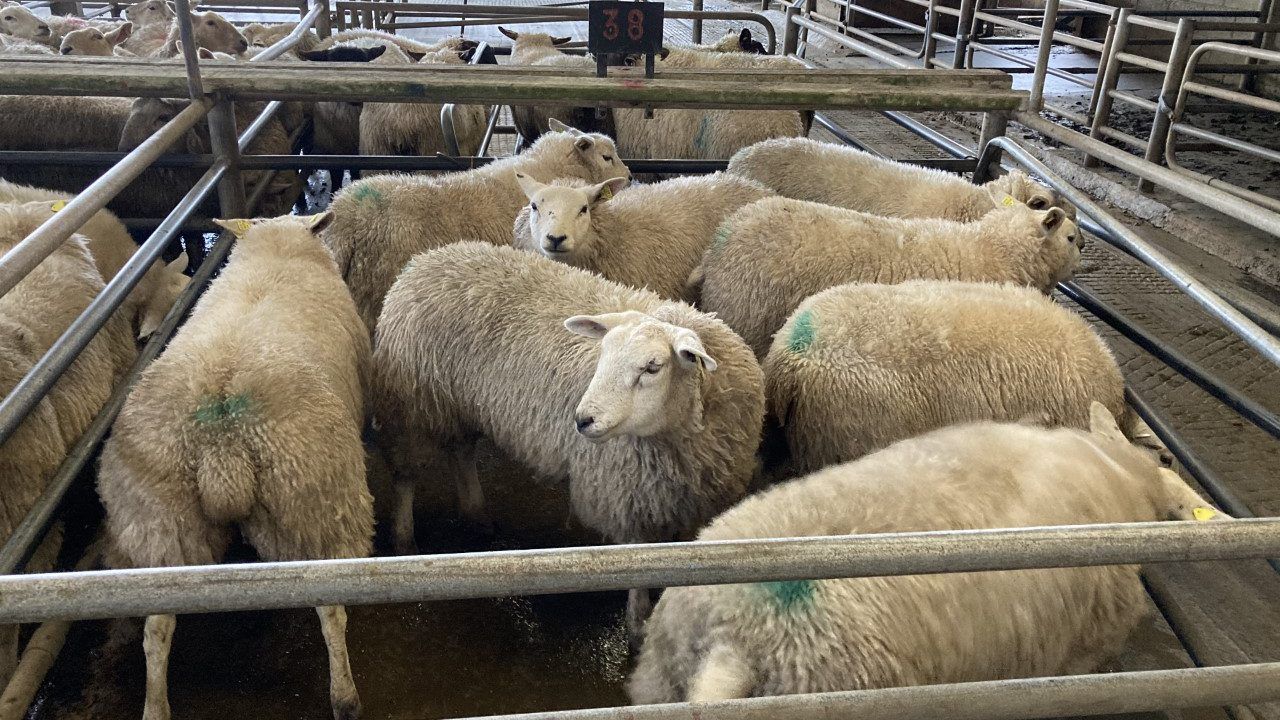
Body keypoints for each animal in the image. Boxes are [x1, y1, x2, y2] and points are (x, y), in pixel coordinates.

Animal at [97, 213, 372, 720]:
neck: (275, 255)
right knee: (329, 608)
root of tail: (221, 437)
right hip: (317, 505)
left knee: (156, 629)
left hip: (161, 521)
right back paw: (344, 696)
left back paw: (155, 705)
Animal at [373, 241, 764, 636]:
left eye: (653, 367)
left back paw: (477, 513)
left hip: (459, 403)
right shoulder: (626, 497)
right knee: (406, 474)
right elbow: (640, 562)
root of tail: (430, 257)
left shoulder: (692, 501)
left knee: (461, 451)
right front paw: (637, 624)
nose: (582, 420)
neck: (677, 437)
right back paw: (405, 539)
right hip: (413, 404)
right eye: (602, 355)